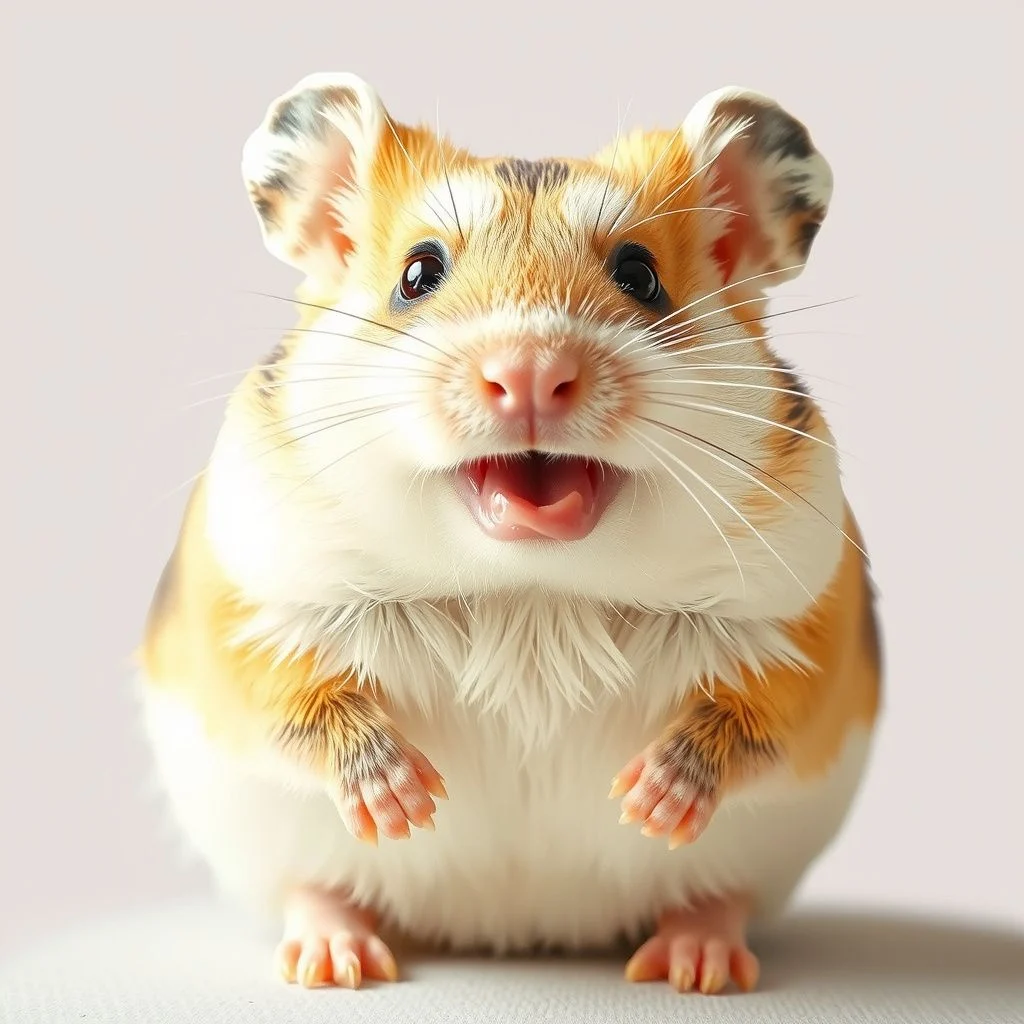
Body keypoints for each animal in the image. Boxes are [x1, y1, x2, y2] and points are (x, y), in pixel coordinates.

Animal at [139, 71, 882, 995]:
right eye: (419, 272)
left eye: (640, 274)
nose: (529, 372)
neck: (533, 587)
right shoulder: (246, 602)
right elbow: (296, 697)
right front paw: (410, 801)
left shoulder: (812, 621)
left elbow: (760, 713)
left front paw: (647, 801)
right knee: (312, 888)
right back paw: (335, 961)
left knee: (721, 896)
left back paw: (696, 964)